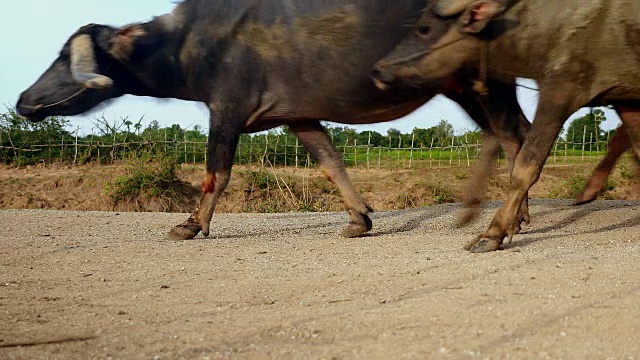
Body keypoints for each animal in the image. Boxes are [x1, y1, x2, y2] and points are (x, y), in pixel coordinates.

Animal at [17, 2, 532, 242]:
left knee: (512, 136)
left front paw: (190, 225)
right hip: (472, 85)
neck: (188, 44)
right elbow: (330, 163)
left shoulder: (226, 107)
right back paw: (516, 214)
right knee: (515, 135)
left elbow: (216, 172)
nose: (23, 101)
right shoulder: (299, 116)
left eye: (64, 57)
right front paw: (358, 218)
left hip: (475, 83)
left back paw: (508, 222)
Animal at [372, 0, 640, 252]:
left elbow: (526, 166)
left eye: (424, 29)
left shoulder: (561, 90)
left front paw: (492, 234)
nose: (378, 69)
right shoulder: (626, 99)